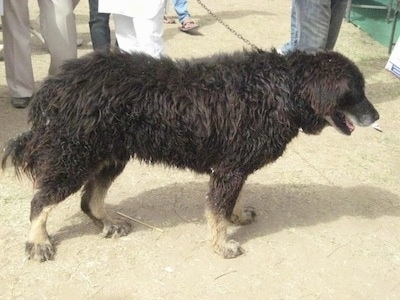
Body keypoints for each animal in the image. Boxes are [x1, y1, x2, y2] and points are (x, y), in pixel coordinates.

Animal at [1, 48, 380, 262]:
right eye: (356, 92)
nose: (378, 118)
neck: (281, 90)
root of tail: (54, 85)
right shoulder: (229, 168)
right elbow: (216, 211)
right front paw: (222, 245)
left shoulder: (235, 167)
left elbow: (229, 204)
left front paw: (236, 217)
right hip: (74, 156)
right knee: (41, 201)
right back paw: (38, 242)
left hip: (109, 156)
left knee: (89, 199)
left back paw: (108, 223)